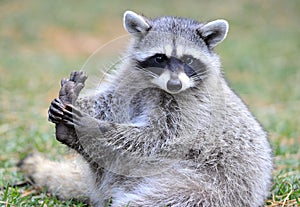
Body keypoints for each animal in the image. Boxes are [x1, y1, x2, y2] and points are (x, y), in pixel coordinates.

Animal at [18, 11, 272, 207]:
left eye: (188, 60)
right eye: (160, 58)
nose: (174, 84)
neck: (159, 86)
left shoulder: (194, 107)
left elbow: (158, 137)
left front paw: (96, 126)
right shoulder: (131, 79)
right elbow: (111, 101)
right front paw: (79, 104)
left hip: (208, 189)